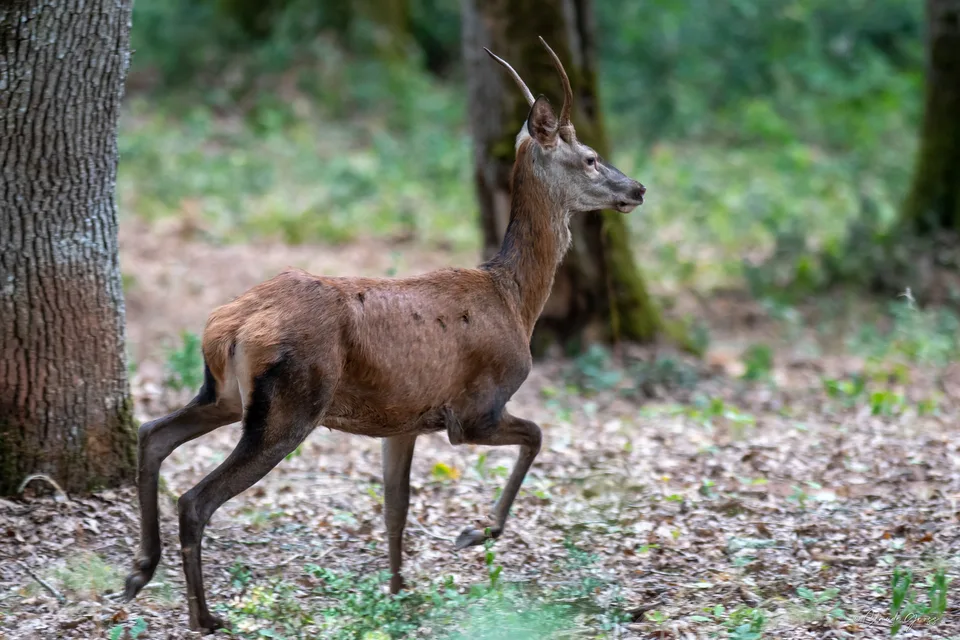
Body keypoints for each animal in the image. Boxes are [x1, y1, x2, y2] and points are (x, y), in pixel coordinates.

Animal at [121, 37, 646, 634]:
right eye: (590, 157)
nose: (637, 188)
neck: (514, 298)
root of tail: (227, 326)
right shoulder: (473, 409)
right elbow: (536, 434)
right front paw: (476, 533)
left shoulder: (405, 419)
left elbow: (397, 505)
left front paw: (397, 592)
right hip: (291, 403)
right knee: (196, 498)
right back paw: (203, 616)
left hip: (226, 393)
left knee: (153, 434)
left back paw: (139, 571)